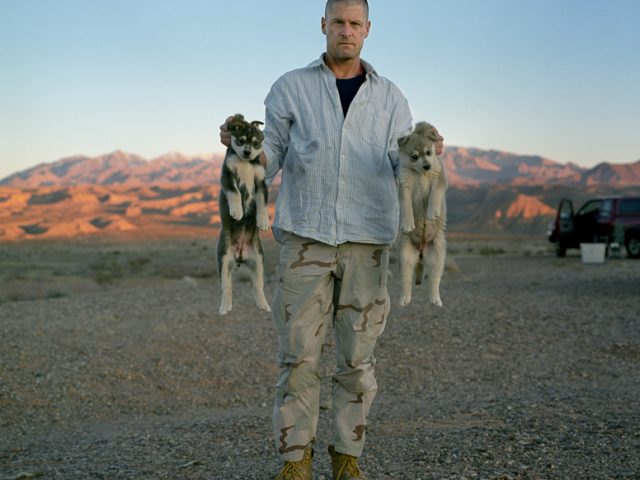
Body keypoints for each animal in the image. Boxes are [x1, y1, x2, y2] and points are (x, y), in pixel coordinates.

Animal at [218, 113, 270, 316]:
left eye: (256, 143)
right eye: (240, 141)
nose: (247, 153)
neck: (246, 163)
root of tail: (240, 255)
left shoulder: (261, 183)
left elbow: (262, 205)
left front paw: (263, 221)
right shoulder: (227, 175)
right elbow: (235, 193)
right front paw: (237, 211)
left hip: (259, 262)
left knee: (257, 285)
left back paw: (264, 304)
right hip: (224, 260)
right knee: (227, 286)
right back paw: (225, 306)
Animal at [398, 122, 448, 306]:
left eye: (429, 152)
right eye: (414, 156)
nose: (427, 166)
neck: (420, 173)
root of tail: (421, 252)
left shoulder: (439, 178)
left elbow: (435, 194)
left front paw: (432, 212)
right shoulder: (404, 185)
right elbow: (406, 206)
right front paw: (408, 223)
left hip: (438, 256)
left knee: (434, 280)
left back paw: (436, 299)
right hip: (405, 257)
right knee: (406, 280)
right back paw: (404, 299)